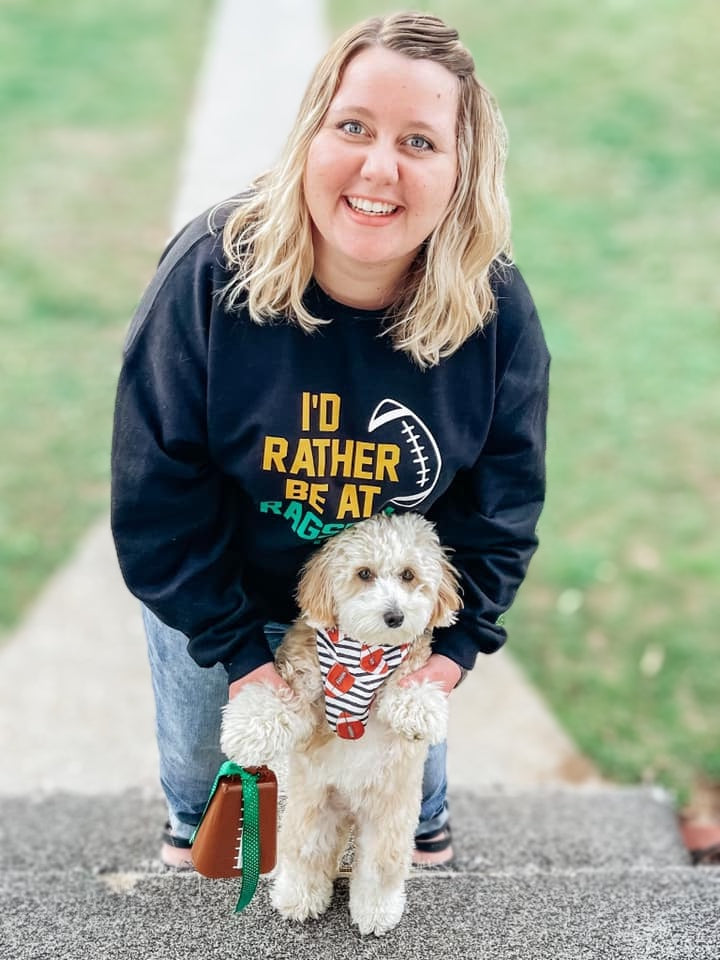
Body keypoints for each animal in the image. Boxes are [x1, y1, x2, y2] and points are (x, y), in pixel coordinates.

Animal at [222, 512, 464, 932]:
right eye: (364, 573)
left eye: (408, 574)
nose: (395, 616)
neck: (364, 652)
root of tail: (350, 810)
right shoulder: (304, 677)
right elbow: (280, 700)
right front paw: (247, 729)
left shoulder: (410, 664)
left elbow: (410, 681)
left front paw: (419, 709)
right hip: (313, 811)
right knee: (307, 856)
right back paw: (298, 898)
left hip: (388, 820)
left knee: (379, 868)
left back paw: (376, 911)